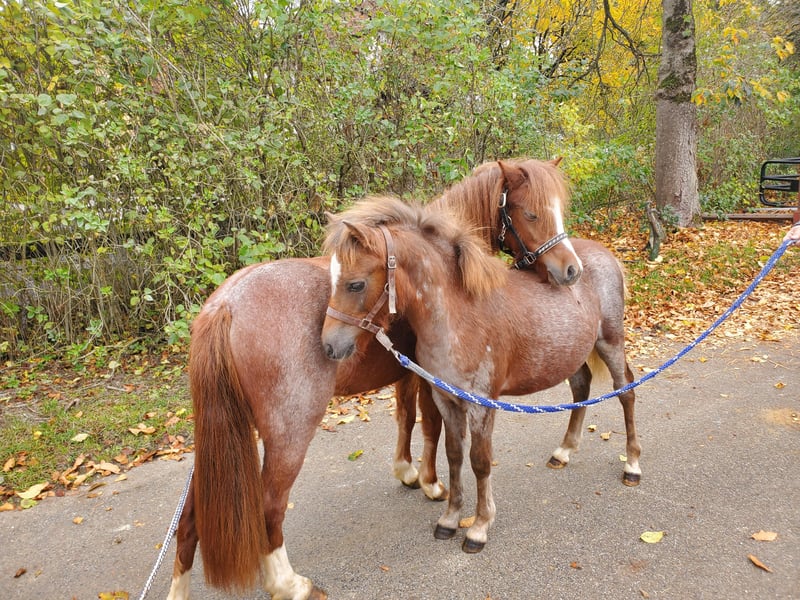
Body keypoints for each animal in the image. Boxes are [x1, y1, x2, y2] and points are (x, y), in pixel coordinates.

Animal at [166, 158, 584, 600]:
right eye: (531, 213)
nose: (570, 270)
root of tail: (224, 305)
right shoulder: (430, 381)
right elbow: (431, 426)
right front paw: (432, 484)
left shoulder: (408, 374)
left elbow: (406, 420)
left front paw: (408, 472)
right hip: (287, 433)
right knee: (270, 505)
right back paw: (288, 582)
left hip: (220, 434)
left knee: (190, 519)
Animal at [321, 196, 639, 554]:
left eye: (356, 284)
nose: (329, 346)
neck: (458, 316)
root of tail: (604, 255)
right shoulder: (446, 399)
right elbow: (454, 455)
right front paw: (449, 519)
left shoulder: (481, 404)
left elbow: (480, 461)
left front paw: (479, 527)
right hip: (573, 354)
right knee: (581, 387)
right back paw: (564, 451)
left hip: (610, 343)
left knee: (626, 391)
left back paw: (632, 465)